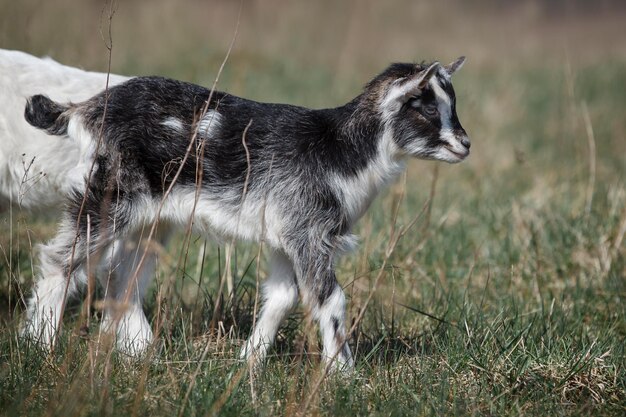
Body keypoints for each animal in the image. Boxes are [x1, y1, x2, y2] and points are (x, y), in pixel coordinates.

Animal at [23, 57, 468, 368]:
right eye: (427, 108)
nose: (465, 144)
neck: (339, 149)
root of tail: (84, 109)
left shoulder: (287, 237)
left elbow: (284, 296)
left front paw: (248, 363)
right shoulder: (309, 233)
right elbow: (329, 299)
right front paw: (344, 374)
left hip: (151, 218)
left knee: (123, 277)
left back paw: (143, 352)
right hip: (108, 195)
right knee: (61, 260)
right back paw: (41, 345)